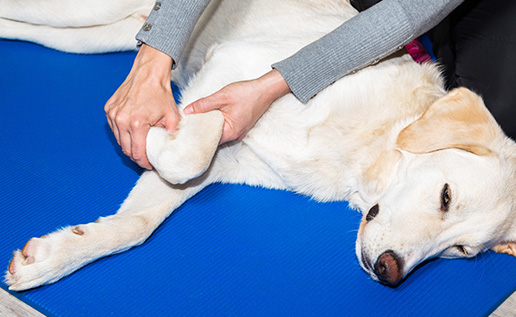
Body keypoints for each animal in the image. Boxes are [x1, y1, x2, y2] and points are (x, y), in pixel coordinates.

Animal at [1, 0, 516, 288]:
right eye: (446, 196)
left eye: (462, 251)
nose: (391, 272)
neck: (362, 151)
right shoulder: (233, 66)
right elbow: (187, 152)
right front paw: (153, 126)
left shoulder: (226, 159)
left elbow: (138, 224)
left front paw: (52, 258)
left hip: (91, 35)